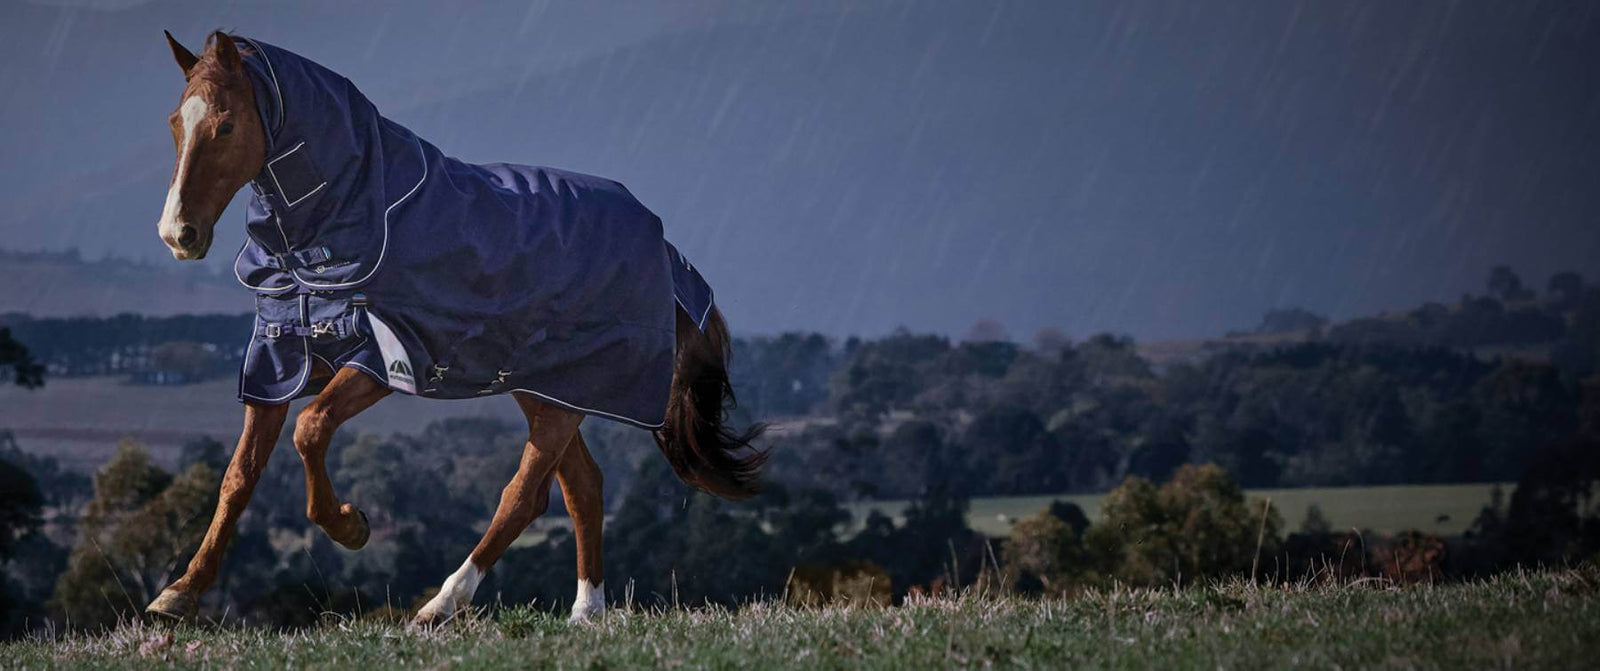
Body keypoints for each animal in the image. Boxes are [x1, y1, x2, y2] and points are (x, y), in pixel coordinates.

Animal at [145, 30, 766, 628]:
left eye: (226, 124)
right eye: (175, 122)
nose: (178, 233)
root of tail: (663, 248)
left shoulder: (382, 359)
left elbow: (311, 428)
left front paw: (351, 526)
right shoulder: (279, 360)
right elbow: (238, 476)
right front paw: (178, 595)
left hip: (565, 396)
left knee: (524, 495)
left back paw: (442, 604)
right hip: (546, 389)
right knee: (583, 488)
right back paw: (585, 611)